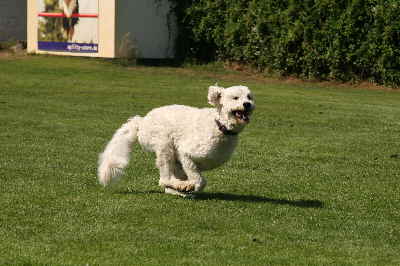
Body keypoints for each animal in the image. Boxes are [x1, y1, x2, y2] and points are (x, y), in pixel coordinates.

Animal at [97, 84, 255, 196]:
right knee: (164, 179)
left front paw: (187, 188)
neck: (219, 126)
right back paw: (180, 186)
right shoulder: (186, 154)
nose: (247, 104)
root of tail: (141, 122)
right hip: (164, 146)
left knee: (167, 183)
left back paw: (179, 189)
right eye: (235, 98)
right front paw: (189, 186)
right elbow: (199, 180)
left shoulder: (184, 162)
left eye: (249, 97)